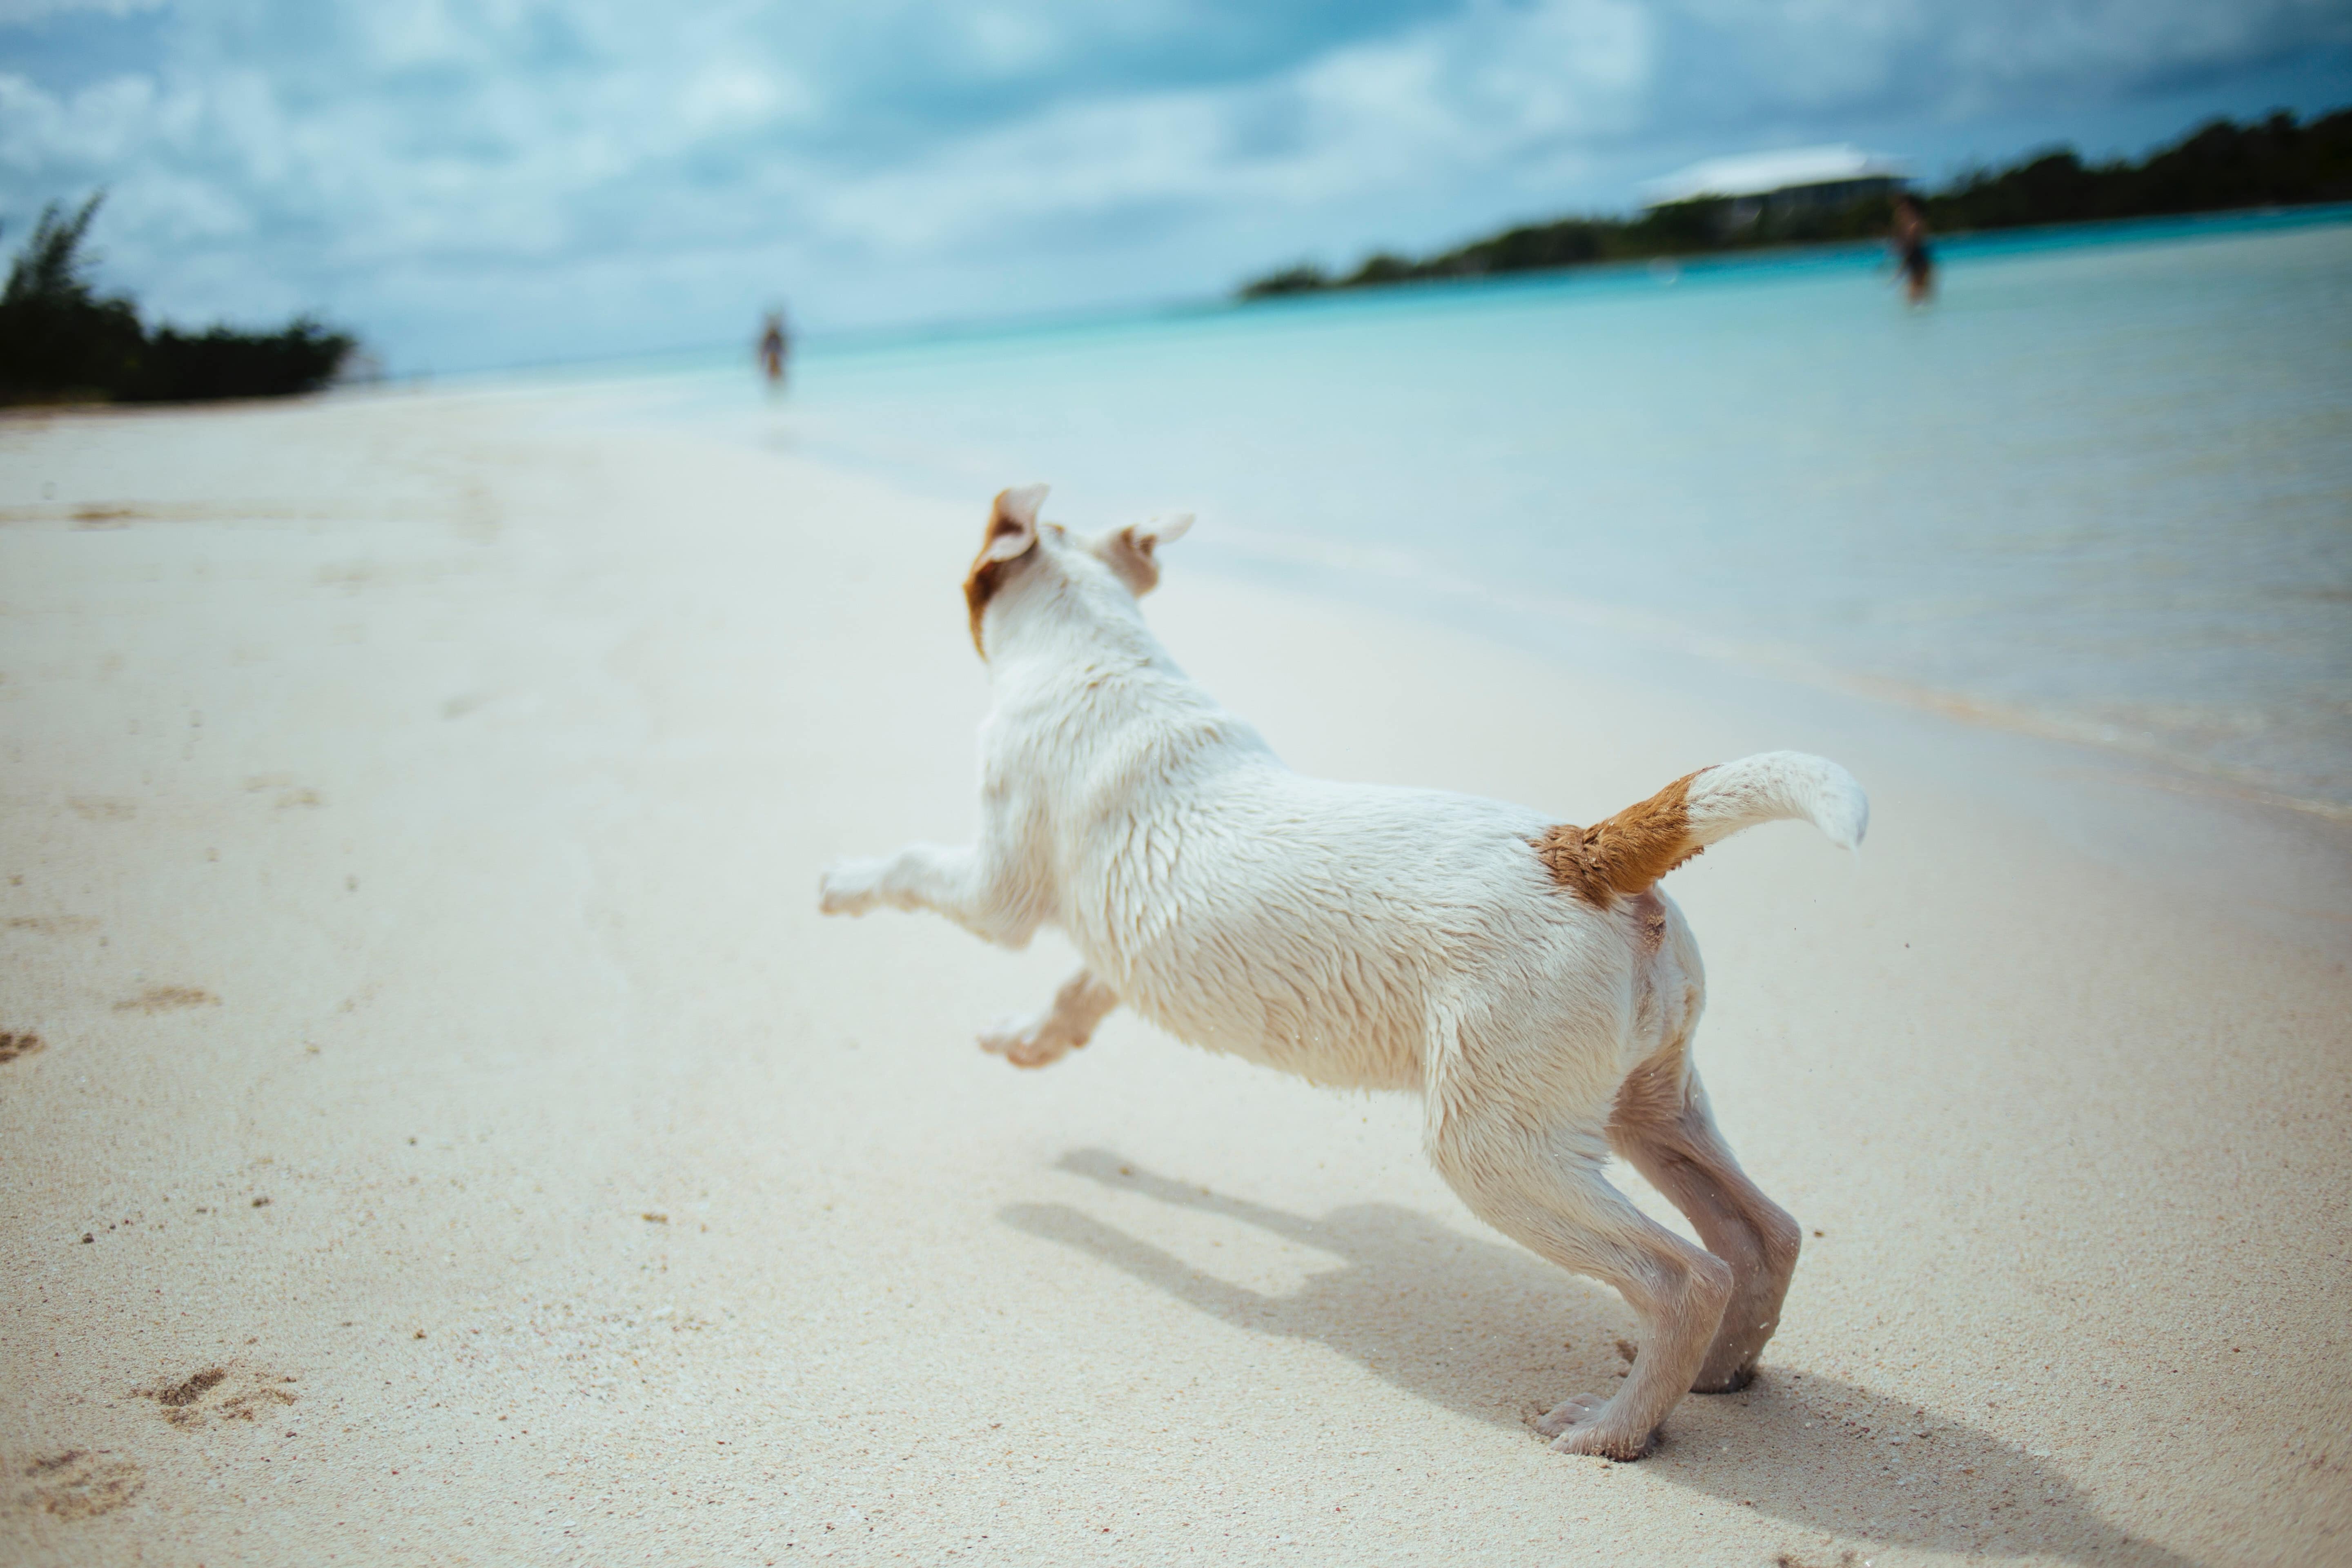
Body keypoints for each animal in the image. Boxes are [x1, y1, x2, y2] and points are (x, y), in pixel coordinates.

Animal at [818, 486, 1862, 1457]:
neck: (1099, 656)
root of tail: (1581, 851)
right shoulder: (1119, 940)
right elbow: (1080, 990)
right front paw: (1028, 1042)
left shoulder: (996, 889)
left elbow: (912, 868)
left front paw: (839, 884)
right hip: (1646, 1104)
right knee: (1761, 1233)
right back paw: (1720, 1373)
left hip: (1496, 1147)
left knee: (1682, 1274)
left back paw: (1614, 1427)